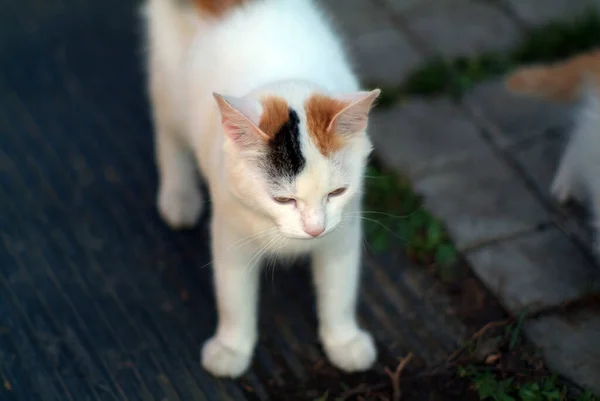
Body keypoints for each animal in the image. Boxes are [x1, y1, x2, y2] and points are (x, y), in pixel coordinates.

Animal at [142, 0, 380, 376]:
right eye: (282, 199)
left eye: (337, 193)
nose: (315, 229)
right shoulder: (230, 231)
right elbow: (233, 297)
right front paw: (231, 348)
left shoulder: (343, 231)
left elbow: (339, 291)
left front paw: (343, 341)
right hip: (170, 87)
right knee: (168, 131)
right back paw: (179, 196)